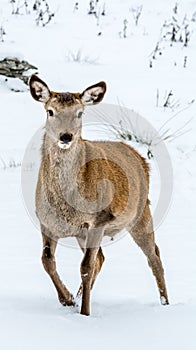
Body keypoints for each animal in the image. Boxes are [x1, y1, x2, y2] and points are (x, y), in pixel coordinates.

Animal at [28, 75, 168, 316]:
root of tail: (139, 157)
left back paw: (165, 303)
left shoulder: (99, 219)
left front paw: (85, 313)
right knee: (102, 257)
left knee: (154, 256)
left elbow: (86, 267)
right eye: (50, 111)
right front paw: (67, 299)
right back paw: (77, 296)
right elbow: (47, 261)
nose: (66, 136)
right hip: (83, 233)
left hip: (141, 213)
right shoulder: (46, 221)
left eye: (80, 112)